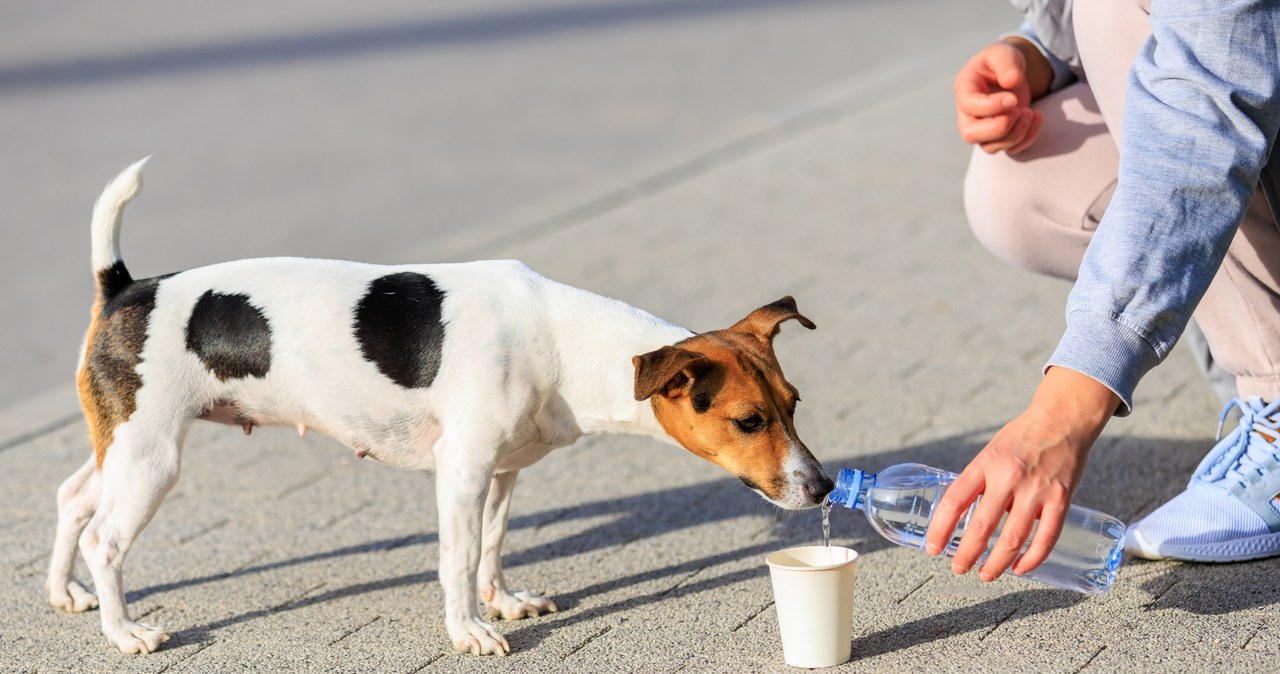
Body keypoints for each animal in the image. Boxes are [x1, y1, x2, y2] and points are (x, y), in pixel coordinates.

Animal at [45, 158, 834, 654]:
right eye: (749, 421)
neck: (562, 341)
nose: (824, 487)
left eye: (796, 404)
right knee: (104, 538)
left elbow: (491, 545)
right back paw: (124, 632)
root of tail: (126, 287)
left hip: (122, 447)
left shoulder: (503, 472)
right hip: (152, 459)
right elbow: (456, 560)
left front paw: (502, 601)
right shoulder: (461, 472)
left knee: (73, 496)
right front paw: (470, 631)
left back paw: (65, 593)